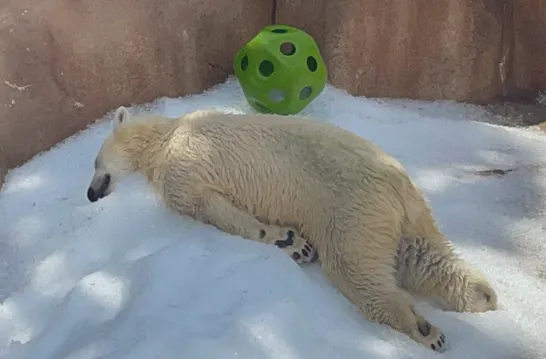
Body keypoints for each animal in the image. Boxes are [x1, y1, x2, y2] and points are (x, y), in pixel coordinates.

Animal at [86, 106, 498, 352]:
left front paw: (290, 242)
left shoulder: (183, 165)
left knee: (356, 270)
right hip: (402, 215)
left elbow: (211, 208)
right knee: (422, 256)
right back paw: (483, 296)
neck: (166, 134)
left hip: (350, 209)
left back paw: (423, 329)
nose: (90, 194)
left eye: (94, 163)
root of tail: (397, 182)